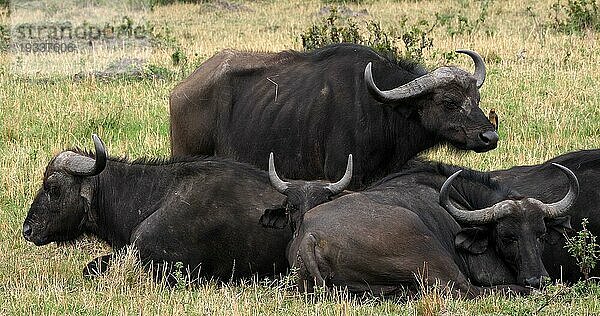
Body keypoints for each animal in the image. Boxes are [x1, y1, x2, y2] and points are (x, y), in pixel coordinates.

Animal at [168, 43, 496, 189]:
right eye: (450, 102)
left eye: (476, 99)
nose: (489, 136)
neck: (380, 109)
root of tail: (180, 91)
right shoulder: (342, 175)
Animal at [264, 159, 580, 298]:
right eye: (506, 236)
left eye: (541, 234)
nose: (538, 279)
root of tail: (311, 234)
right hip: (433, 256)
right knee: (469, 291)